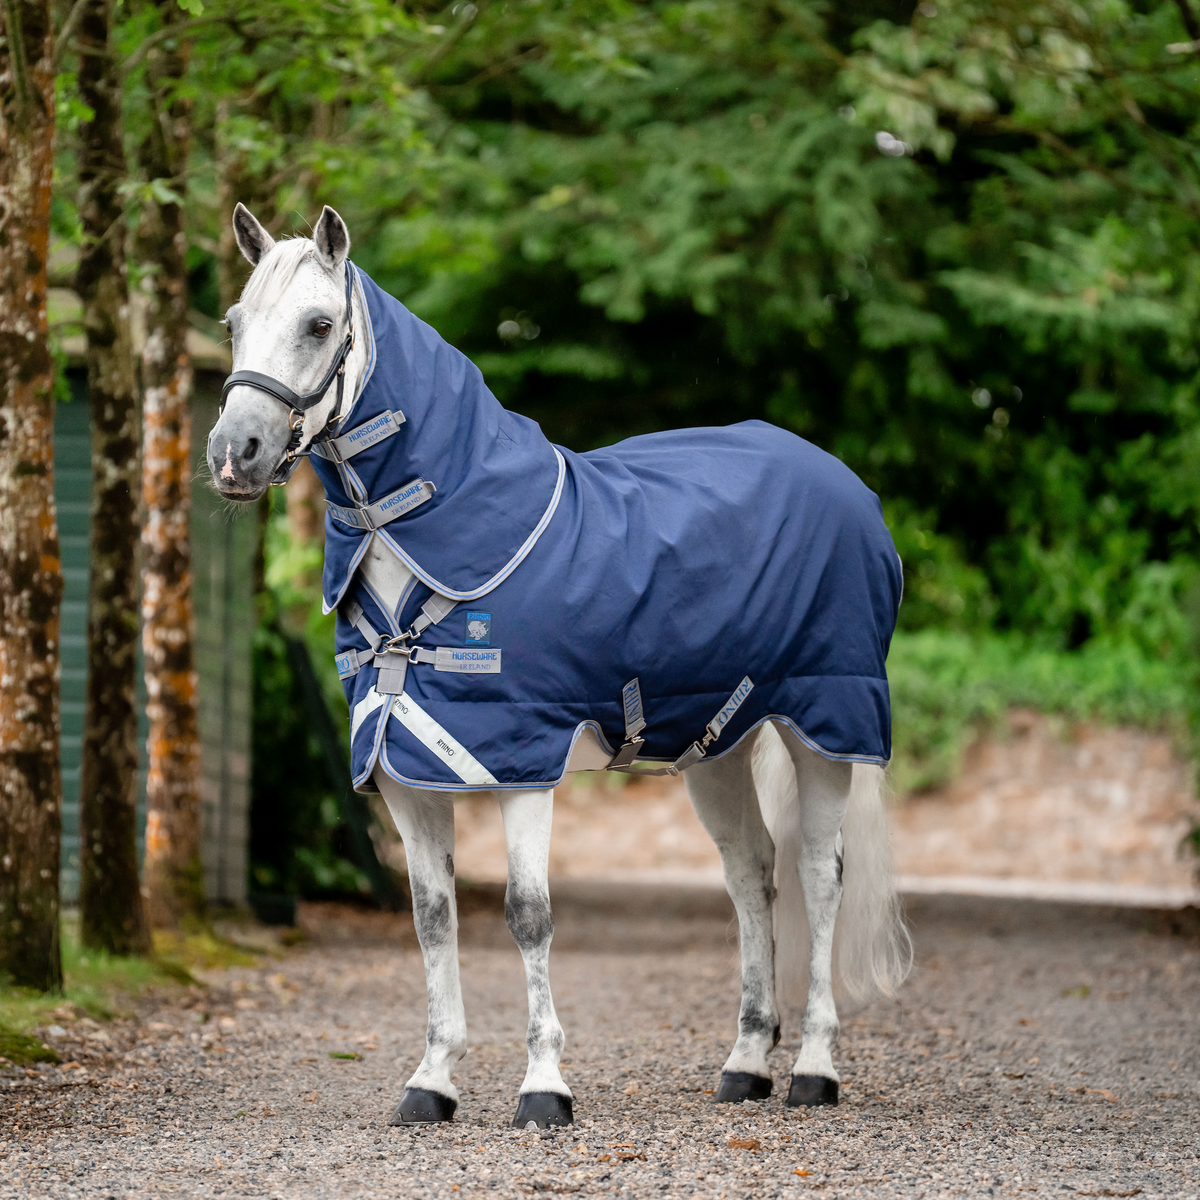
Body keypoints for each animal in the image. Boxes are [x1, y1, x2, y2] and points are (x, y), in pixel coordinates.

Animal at [208, 203, 912, 1129]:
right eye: (234, 323)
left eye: (320, 325)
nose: (235, 454)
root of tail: (848, 487)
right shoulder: (403, 769)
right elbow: (433, 918)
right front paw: (431, 1081)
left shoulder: (520, 764)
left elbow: (528, 915)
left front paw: (544, 1086)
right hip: (718, 748)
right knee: (750, 875)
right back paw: (746, 1064)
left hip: (825, 727)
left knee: (819, 877)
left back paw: (814, 1070)